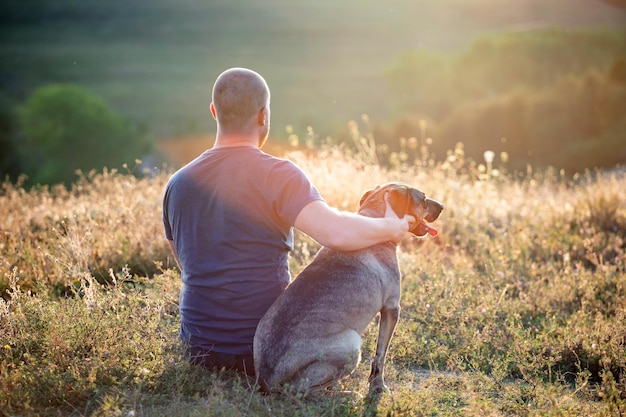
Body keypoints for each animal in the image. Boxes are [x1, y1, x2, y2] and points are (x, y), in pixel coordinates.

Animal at [251, 183, 442, 396]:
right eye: (423, 199)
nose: (441, 207)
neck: (374, 218)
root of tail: (267, 380)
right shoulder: (392, 308)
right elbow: (380, 356)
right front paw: (378, 388)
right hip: (351, 344)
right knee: (302, 391)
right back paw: (342, 393)